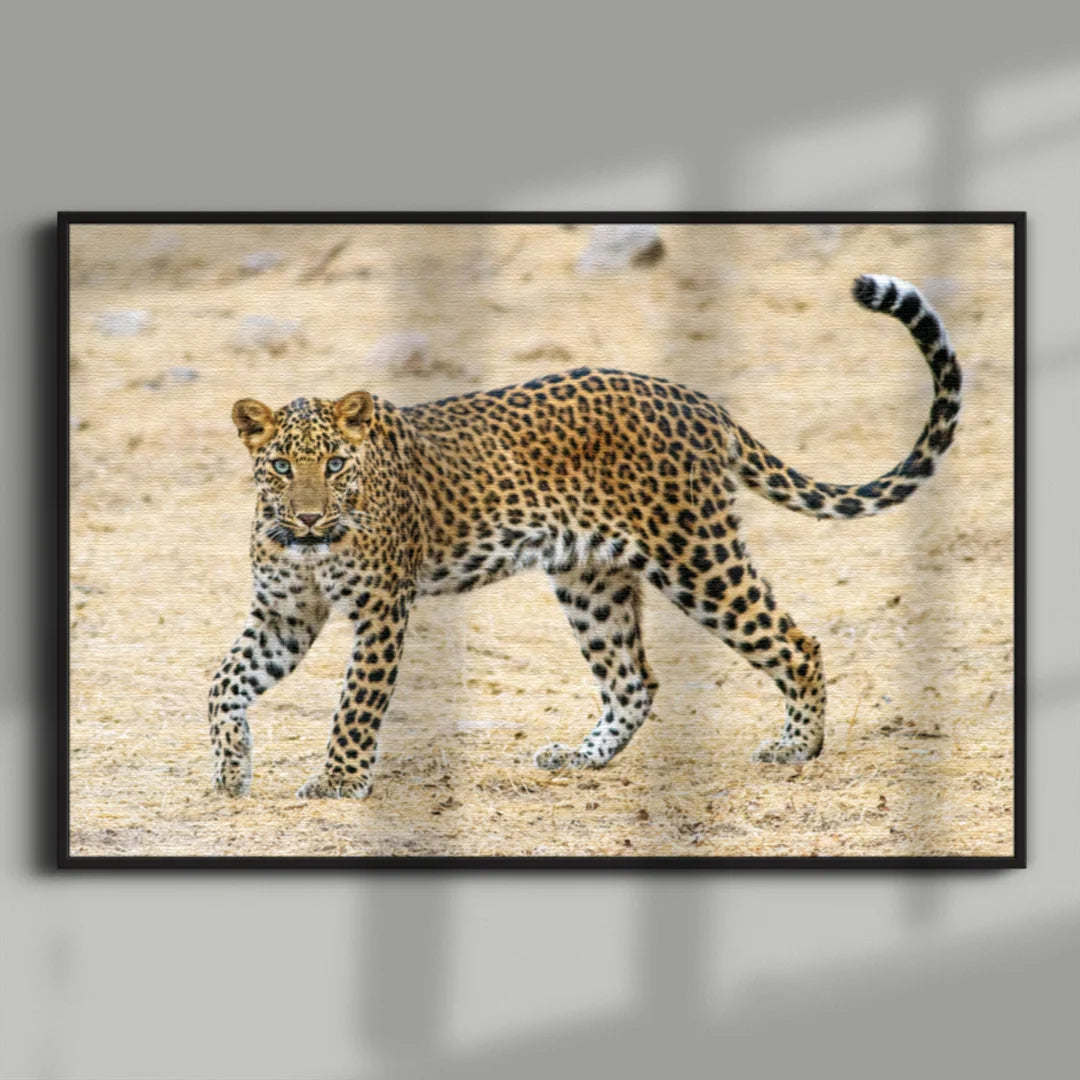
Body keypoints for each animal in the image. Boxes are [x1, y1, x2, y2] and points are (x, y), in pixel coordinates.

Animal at [209, 274, 961, 799]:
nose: (309, 518)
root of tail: (698, 400)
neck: (307, 544)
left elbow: (356, 703)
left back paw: (798, 747)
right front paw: (229, 767)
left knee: (792, 640)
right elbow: (223, 680)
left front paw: (338, 781)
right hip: (590, 578)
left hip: (695, 555)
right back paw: (579, 757)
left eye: (335, 464)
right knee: (634, 679)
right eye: (282, 466)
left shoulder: (380, 611)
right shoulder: (285, 614)